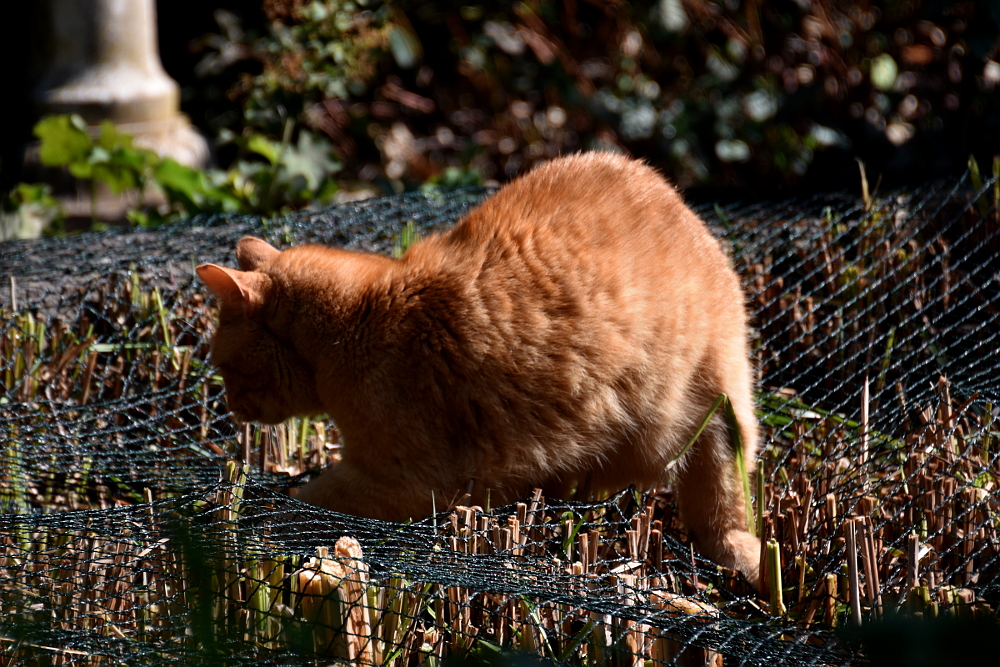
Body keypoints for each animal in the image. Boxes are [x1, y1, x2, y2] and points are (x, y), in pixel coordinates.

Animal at [197, 152, 762, 588]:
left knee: (727, 507)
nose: (230, 406)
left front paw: (262, 515)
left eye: (225, 367)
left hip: (717, 407)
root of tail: (674, 197)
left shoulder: (403, 481)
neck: (360, 318)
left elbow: (306, 500)